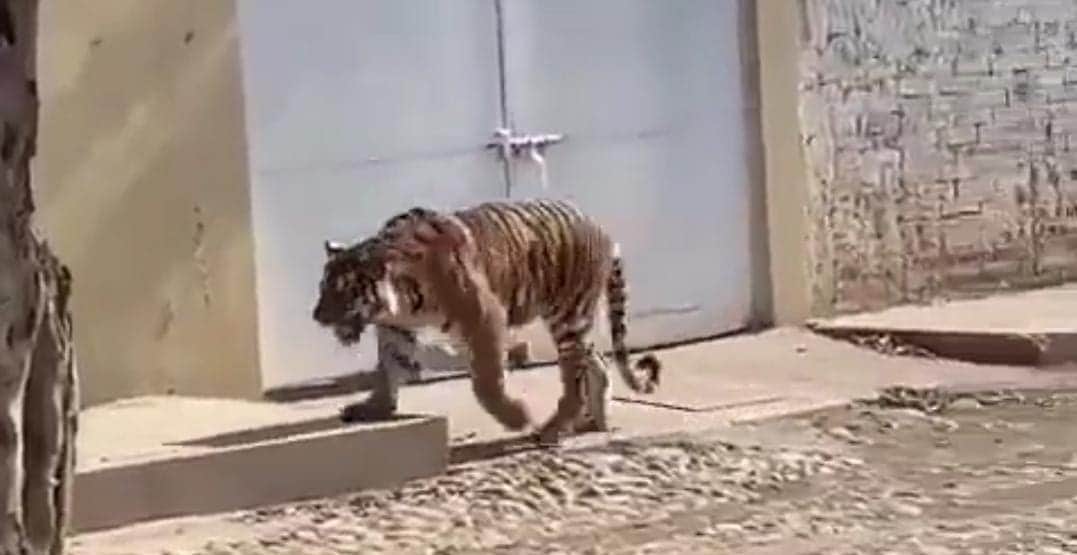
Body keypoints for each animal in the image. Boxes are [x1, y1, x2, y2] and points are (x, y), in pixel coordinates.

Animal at [312, 198, 661, 444]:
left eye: (342, 289)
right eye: (322, 286)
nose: (316, 316)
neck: (399, 302)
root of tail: (605, 232)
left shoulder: (485, 319)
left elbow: (486, 384)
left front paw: (517, 417)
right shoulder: (396, 329)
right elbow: (387, 369)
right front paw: (375, 408)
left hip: (567, 317)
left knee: (574, 378)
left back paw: (552, 430)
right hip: (575, 324)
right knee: (597, 361)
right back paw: (592, 422)